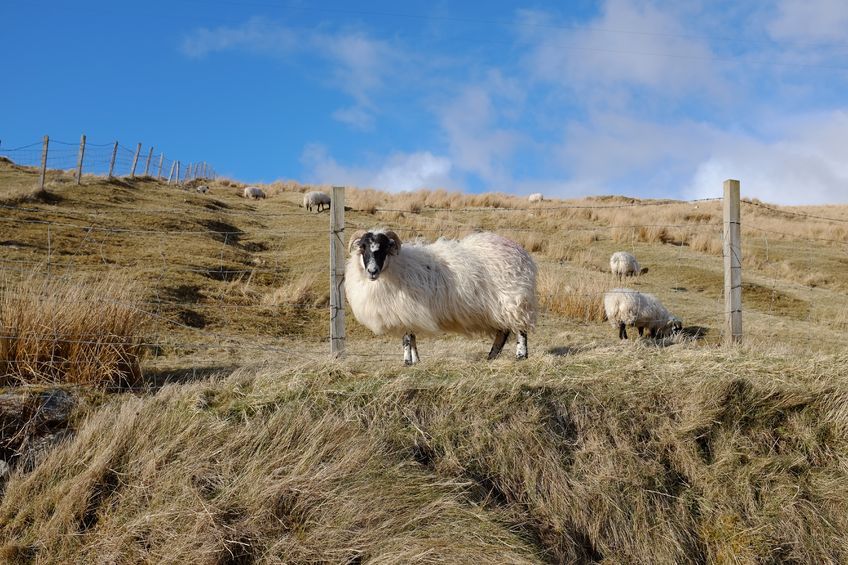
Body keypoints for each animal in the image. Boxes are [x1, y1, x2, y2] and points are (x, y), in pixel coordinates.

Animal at [344, 227, 536, 364]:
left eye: (383, 248)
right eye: (363, 247)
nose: (372, 271)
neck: (395, 267)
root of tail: (520, 252)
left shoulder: (405, 310)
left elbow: (406, 338)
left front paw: (407, 362)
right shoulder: (409, 313)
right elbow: (412, 338)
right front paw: (416, 361)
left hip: (514, 299)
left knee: (520, 330)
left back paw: (520, 356)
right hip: (498, 307)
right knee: (502, 332)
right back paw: (491, 357)